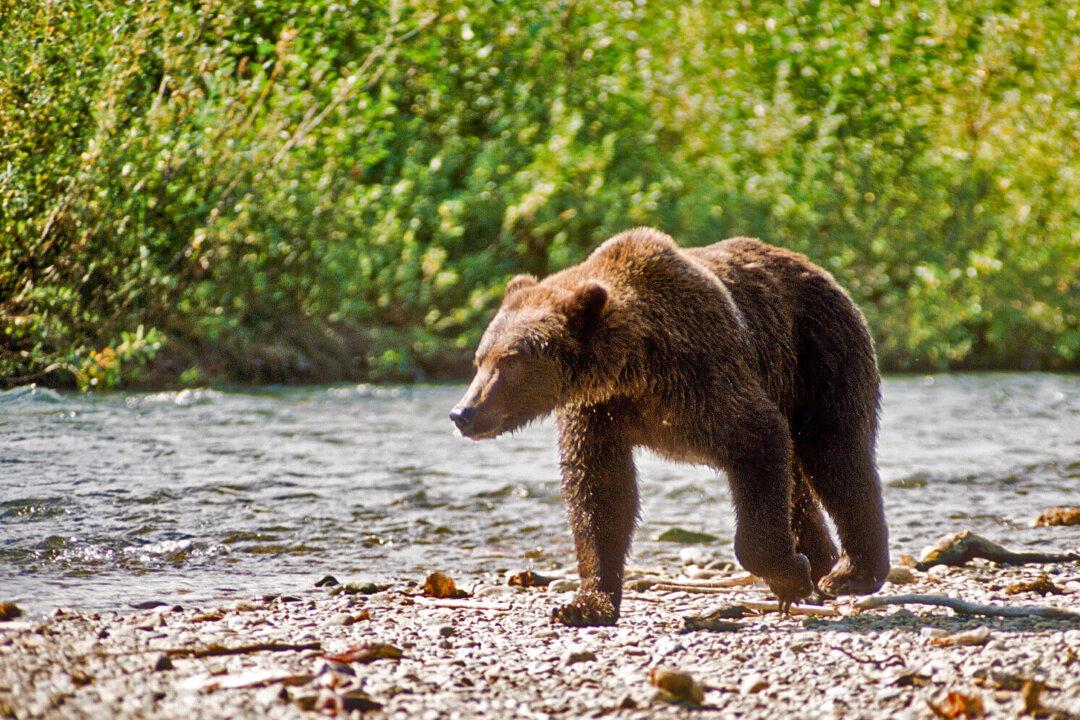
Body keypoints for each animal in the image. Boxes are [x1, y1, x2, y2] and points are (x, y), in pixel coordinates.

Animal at [450, 227, 889, 626]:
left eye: (510, 362)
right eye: (480, 359)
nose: (463, 413)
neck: (634, 367)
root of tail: (816, 268)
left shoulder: (701, 379)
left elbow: (756, 436)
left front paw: (789, 577)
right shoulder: (599, 412)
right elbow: (600, 493)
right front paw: (586, 604)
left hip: (819, 352)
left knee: (836, 454)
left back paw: (851, 574)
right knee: (797, 481)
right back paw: (821, 564)